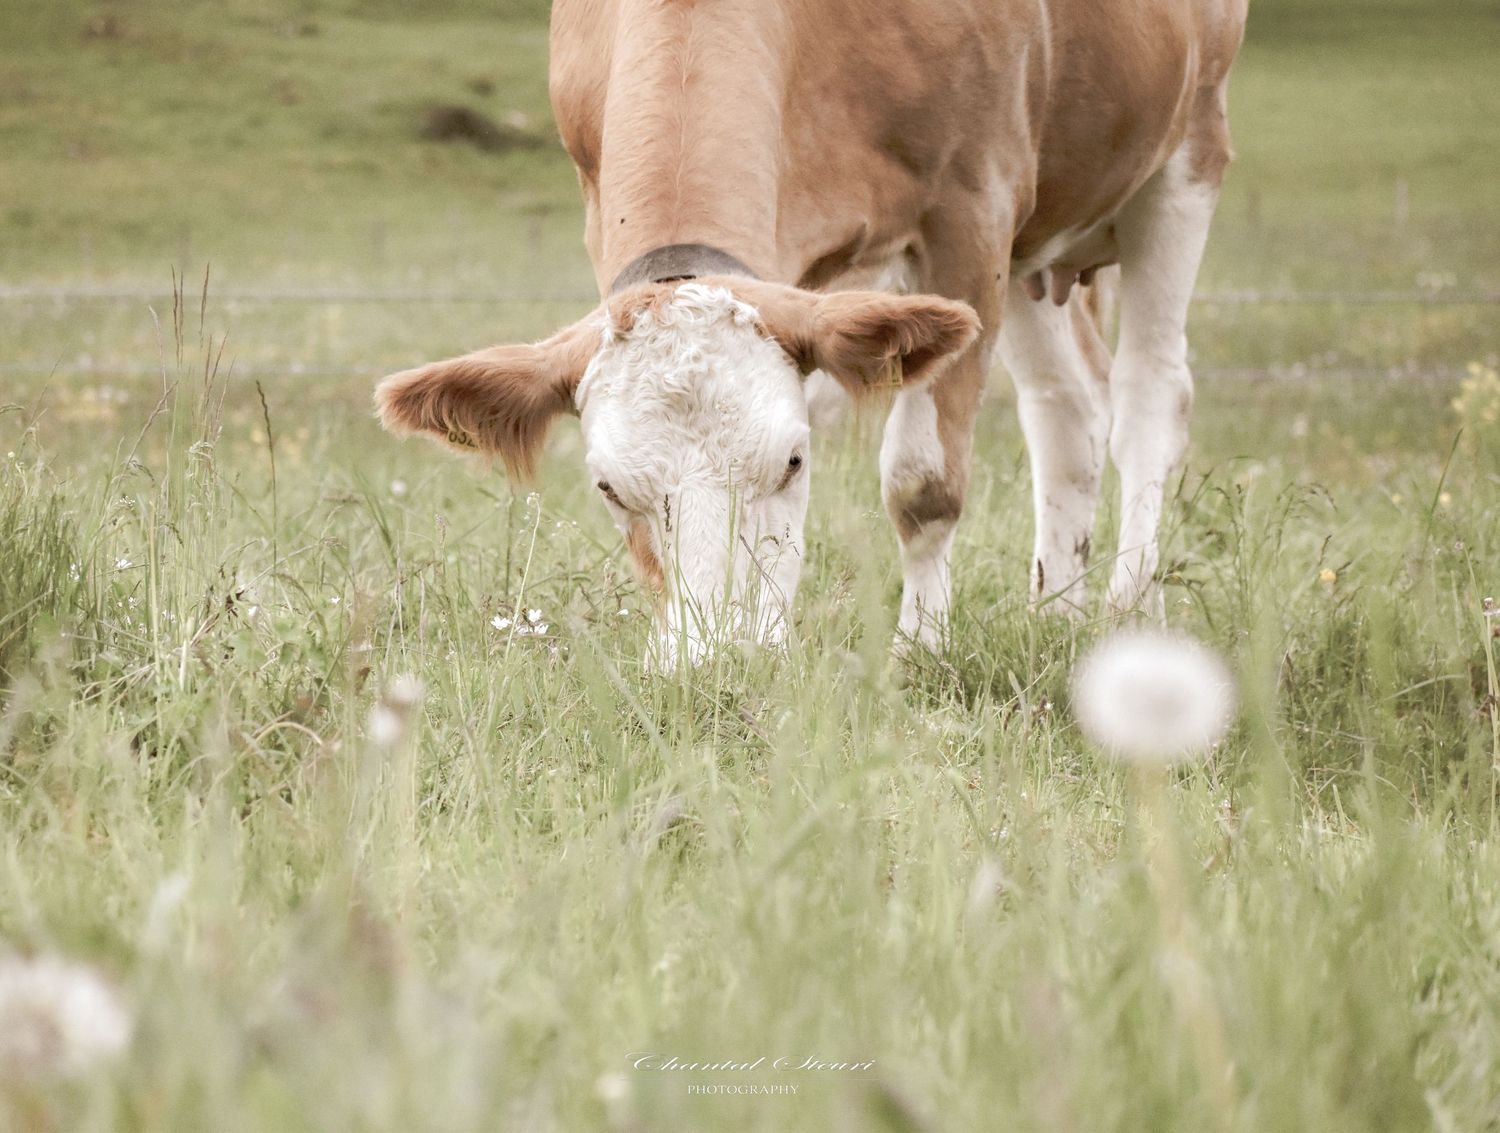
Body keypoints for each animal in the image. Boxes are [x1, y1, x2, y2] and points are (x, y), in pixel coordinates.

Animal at [376, 0, 1248, 665]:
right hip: (1040, 244)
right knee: (1067, 408)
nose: (712, 663)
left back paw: (1128, 611)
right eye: (607, 488)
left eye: (795, 461)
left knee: (1150, 398)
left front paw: (919, 653)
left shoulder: (974, 207)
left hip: (1189, 151)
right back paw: (1057, 616)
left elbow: (924, 482)